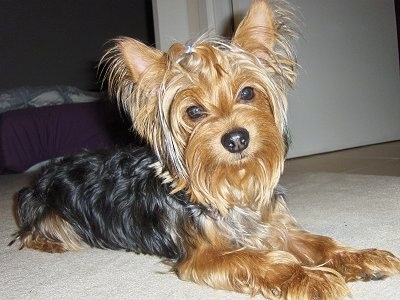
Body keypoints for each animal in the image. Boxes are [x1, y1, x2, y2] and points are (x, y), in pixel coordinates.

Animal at [10, 1, 398, 298]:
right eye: (193, 112)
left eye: (247, 92)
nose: (236, 138)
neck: (232, 185)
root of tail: (45, 172)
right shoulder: (205, 256)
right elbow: (255, 260)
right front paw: (309, 277)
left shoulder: (274, 226)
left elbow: (319, 243)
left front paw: (362, 257)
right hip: (48, 214)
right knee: (33, 232)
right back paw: (50, 242)